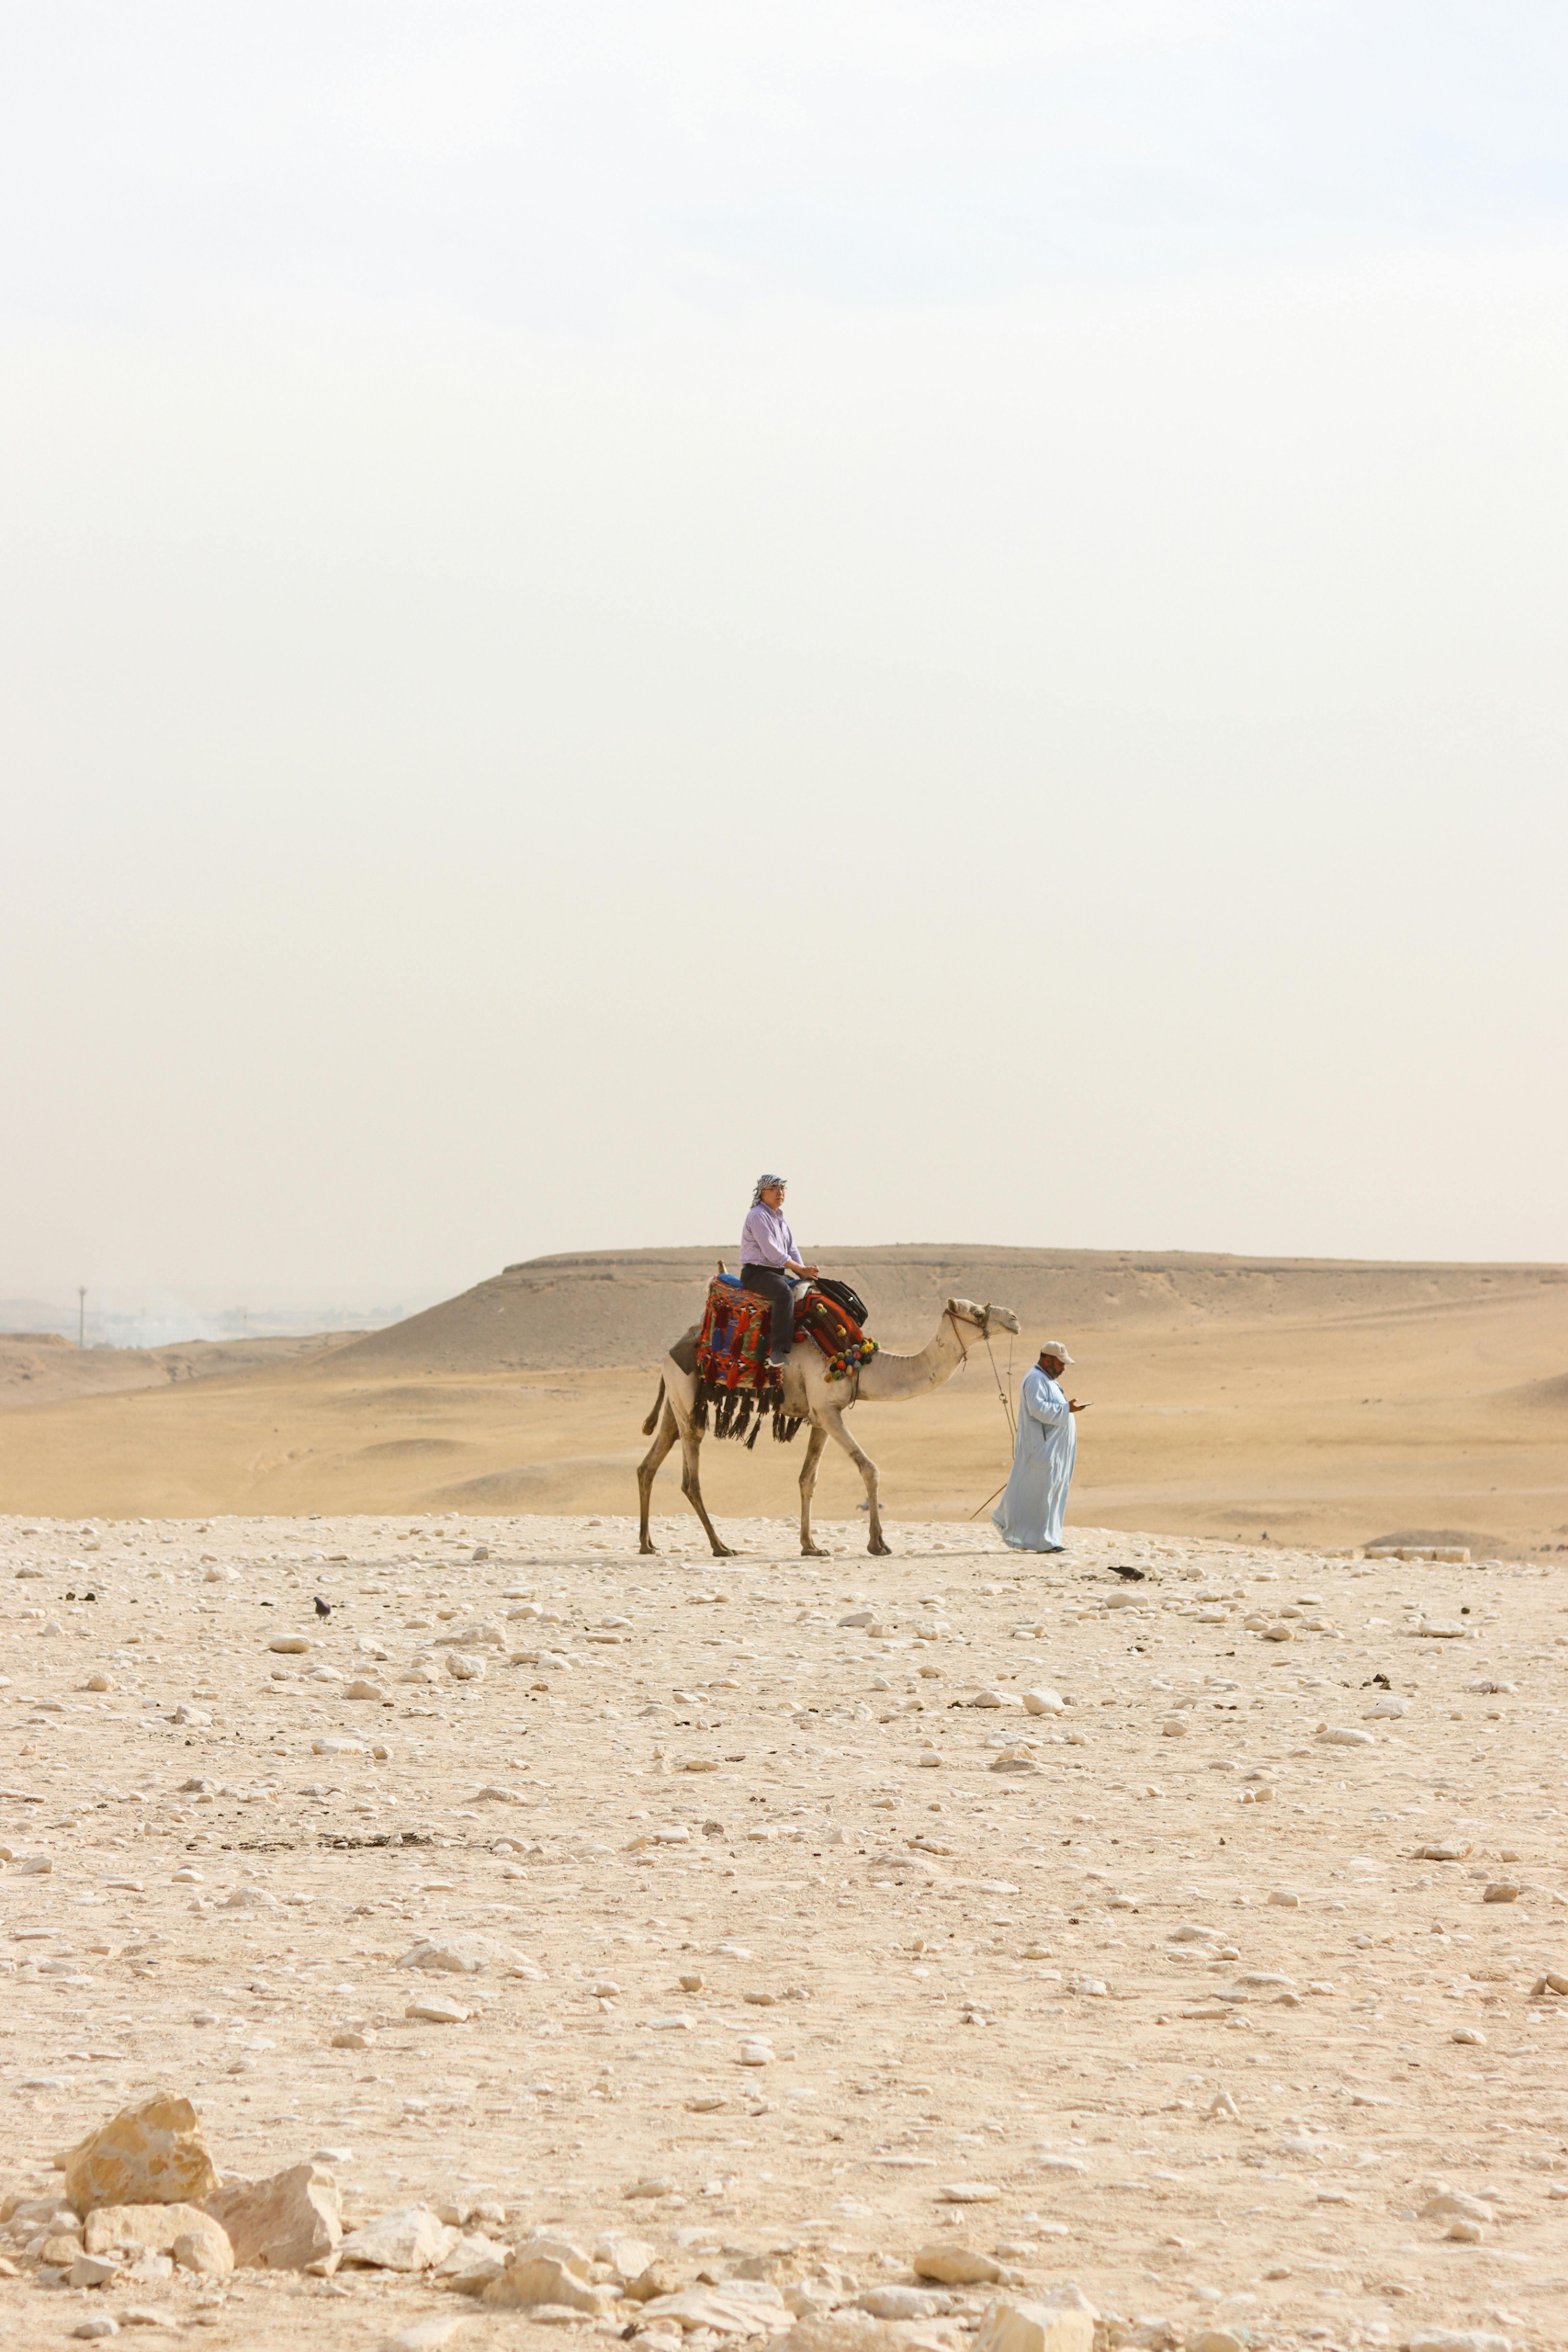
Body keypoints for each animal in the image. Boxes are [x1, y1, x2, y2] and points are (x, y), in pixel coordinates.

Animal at [636, 1295, 1020, 1558]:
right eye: (978, 1313)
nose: (1015, 1319)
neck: (861, 1362)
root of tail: (670, 1354)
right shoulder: (827, 1409)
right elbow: (869, 1468)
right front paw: (878, 1543)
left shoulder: (820, 1416)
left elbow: (808, 1479)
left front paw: (810, 1545)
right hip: (688, 1402)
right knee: (690, 1476)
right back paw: (720, 1546)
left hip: (676, 1403)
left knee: (649, 1464)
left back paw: (647, 1543)